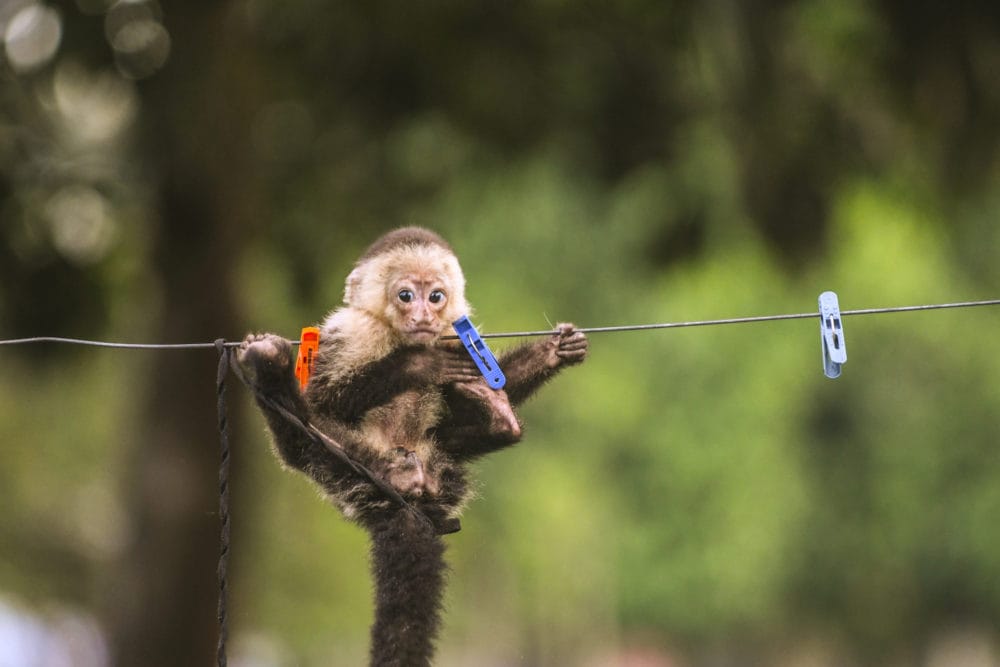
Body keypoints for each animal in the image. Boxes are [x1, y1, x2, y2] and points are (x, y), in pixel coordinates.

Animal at [237, 227, 584, 664]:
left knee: (450, 433)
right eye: (405, 296)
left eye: (435, 296)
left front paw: (552, 353)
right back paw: (271, 373)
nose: (422, 316)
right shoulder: (350, 331)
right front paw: (418, 364)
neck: (394, 335)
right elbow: (323, 400)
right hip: (355, 478)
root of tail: (409, 501)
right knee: (299, 442)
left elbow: (482, 369)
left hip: (441, 468)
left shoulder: (454, 333)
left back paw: (498, 418)